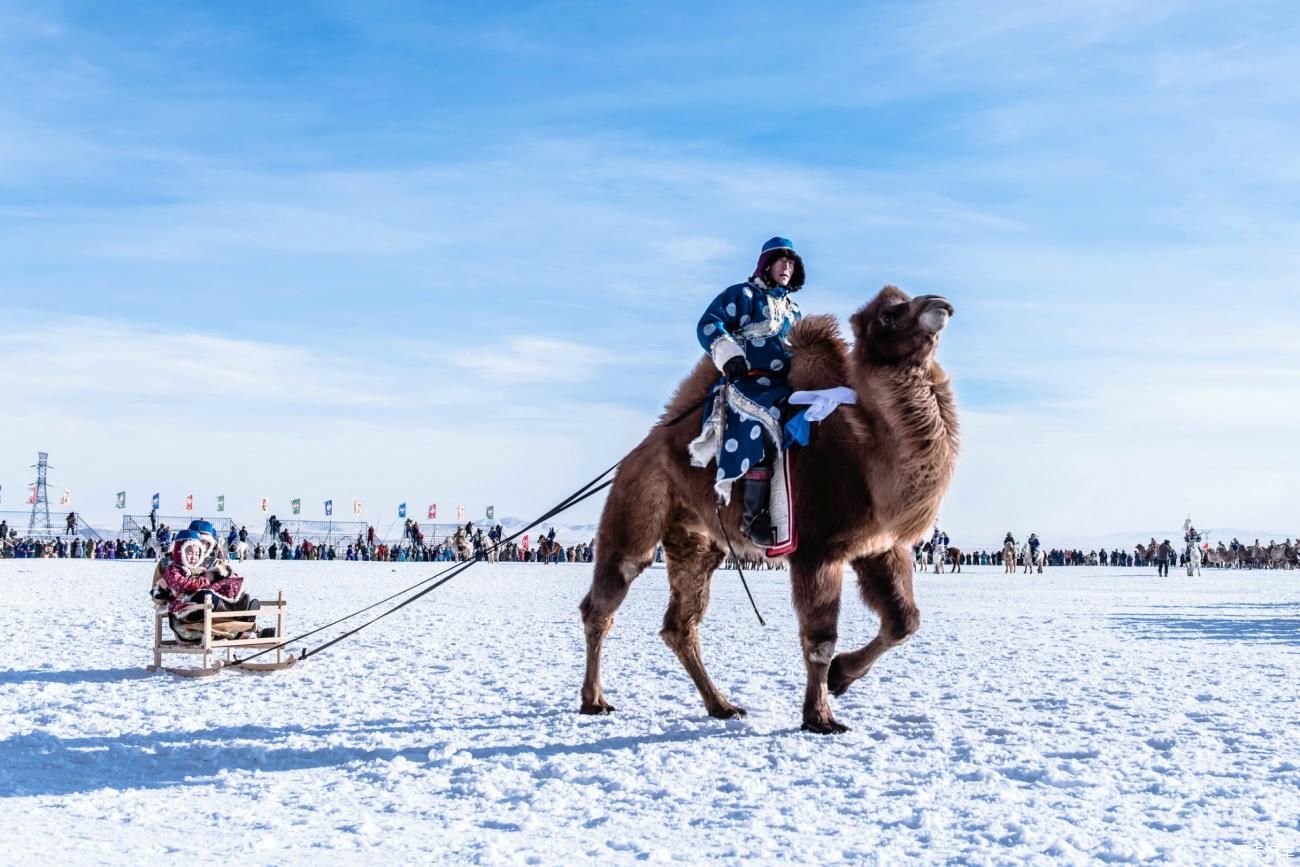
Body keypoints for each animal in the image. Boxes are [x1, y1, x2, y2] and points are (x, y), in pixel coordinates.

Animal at [579, 288, 956, 738]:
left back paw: (722, 705)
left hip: (697, 542)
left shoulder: (880, 547)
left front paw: (841, 678)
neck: (865, 456)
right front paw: (820, 717)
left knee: (680, 625)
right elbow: (820, 638)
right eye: (887, 315)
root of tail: (635, 455)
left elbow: (904, 621)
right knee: (605, 599)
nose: (938, 303)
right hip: (636, 512)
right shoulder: (816, 550)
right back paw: (594, 701)